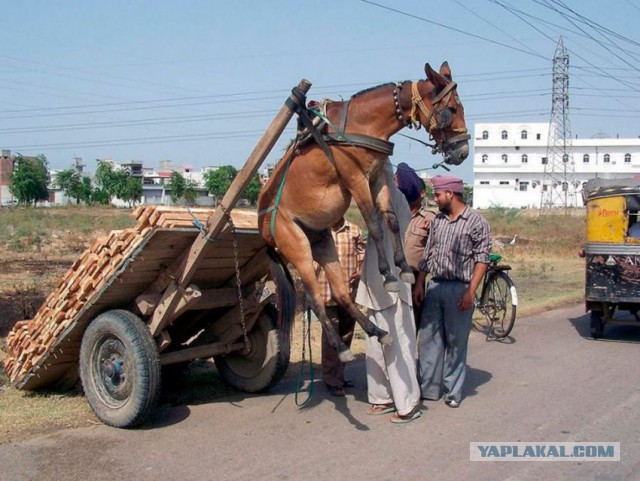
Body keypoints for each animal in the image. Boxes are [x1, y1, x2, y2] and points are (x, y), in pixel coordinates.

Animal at [256, 61, 470, 360]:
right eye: (450, 109)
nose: (462, 151)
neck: (362, 125)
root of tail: (263, 228)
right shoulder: (355, 179)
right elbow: (375, 225)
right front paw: (388, 275)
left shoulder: (378, 176)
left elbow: (391, 220)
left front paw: (404, 267)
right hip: (297, 248)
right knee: (314, 299)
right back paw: (340, 347)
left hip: (322, 244)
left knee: (341, 293)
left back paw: (377, 332)